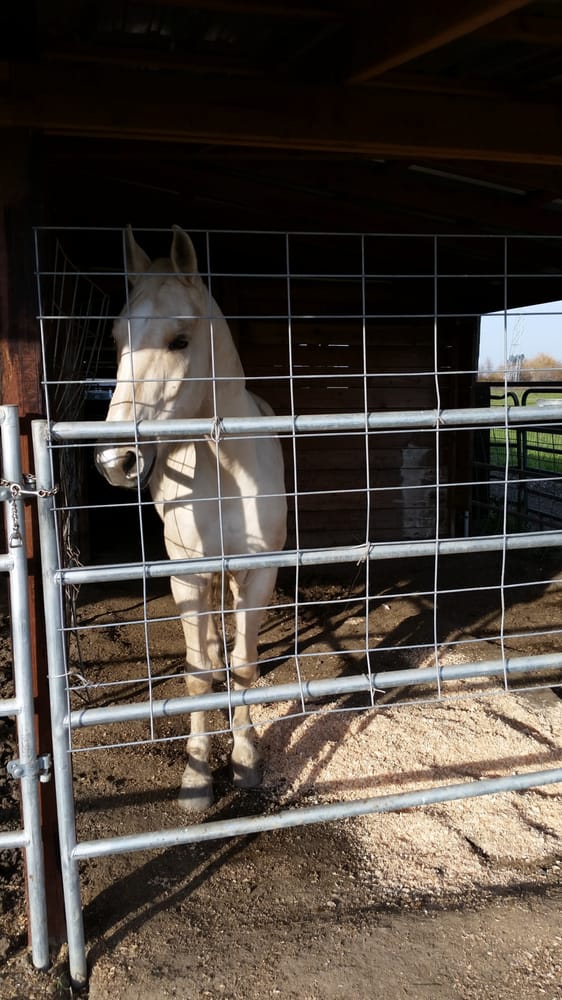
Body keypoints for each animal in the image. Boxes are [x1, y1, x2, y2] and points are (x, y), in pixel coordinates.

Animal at [95, 226, 287, 811]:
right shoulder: (188, 577)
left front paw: (246, 763)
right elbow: (200, 675)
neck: (224, 469)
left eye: (181, 340)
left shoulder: (258, 573)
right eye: (117, 340)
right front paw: (198, 778)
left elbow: (243, 668)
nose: (115, 461)